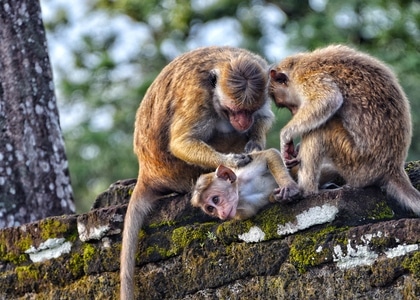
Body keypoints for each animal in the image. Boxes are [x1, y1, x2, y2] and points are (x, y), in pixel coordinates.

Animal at [120, 47, 274, 300]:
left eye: (248, 110)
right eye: (234, 110)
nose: (243, 121)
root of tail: (147, 171)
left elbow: (264, 116)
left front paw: (255, 144)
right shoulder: (197, 97)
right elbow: (182, 142)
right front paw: (230, 160)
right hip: (179, 172)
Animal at [270, 44, 420, 213]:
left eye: (288, 105)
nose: (294, 112)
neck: (297, 65)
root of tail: (393, 168)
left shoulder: (307, 77)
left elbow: (327, 99)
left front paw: (285, 137)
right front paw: (293, 148)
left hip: (357, 163)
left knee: (321, 128)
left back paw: (306, 192)